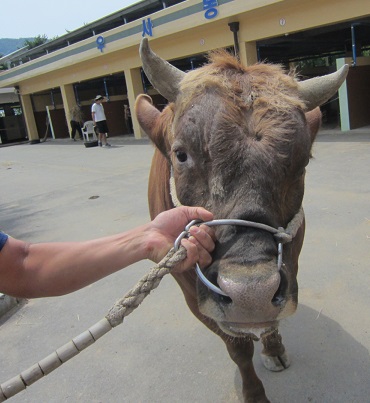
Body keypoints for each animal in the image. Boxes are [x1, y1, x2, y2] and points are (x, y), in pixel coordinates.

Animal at [134, 36, 348, 402]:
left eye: (303, 160)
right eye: (181, 154)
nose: (252, 294)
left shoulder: (291, 264)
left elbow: (270, 322)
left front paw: (273, 349)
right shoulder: (192, 293)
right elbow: (238, 348)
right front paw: (254, 392)